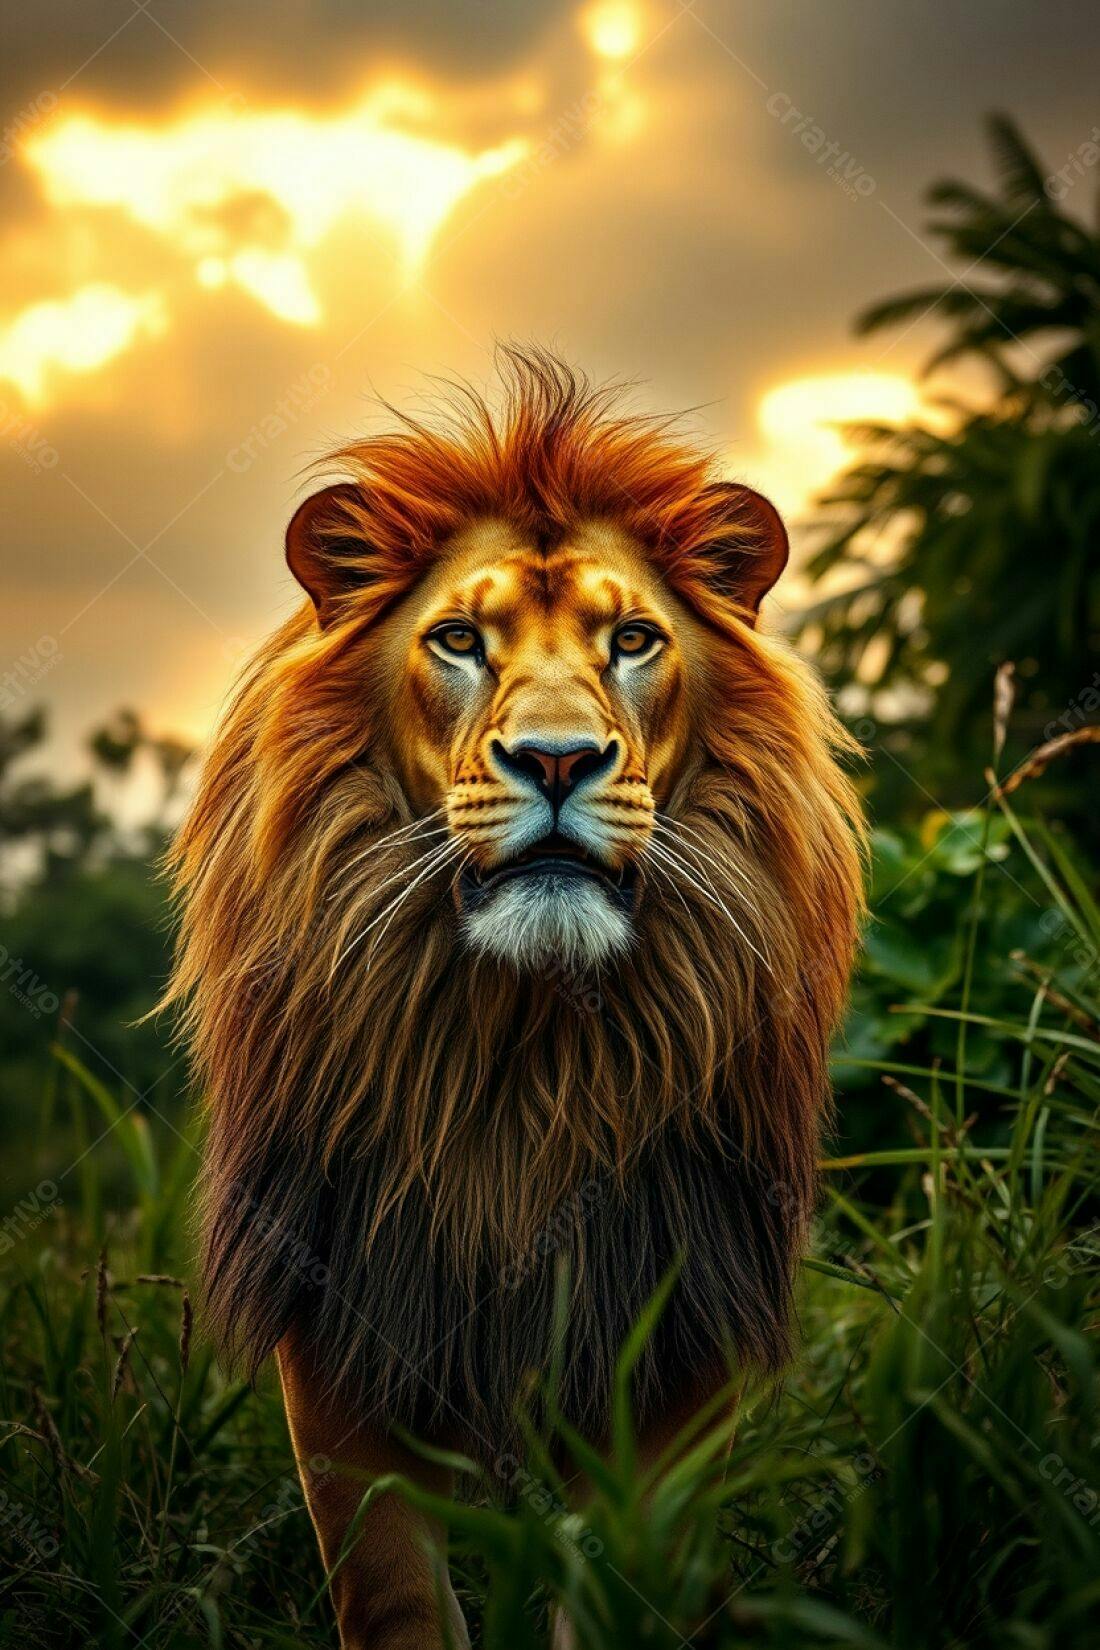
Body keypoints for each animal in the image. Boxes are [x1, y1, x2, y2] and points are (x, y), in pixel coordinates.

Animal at [165, 347, 865, 1649]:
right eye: (455, 640)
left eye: (633, 639)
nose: (554, 759)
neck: (524, 1051)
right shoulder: (345, 1319)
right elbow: (390, 1591)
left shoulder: (671, 1324)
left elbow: (630, 1582)